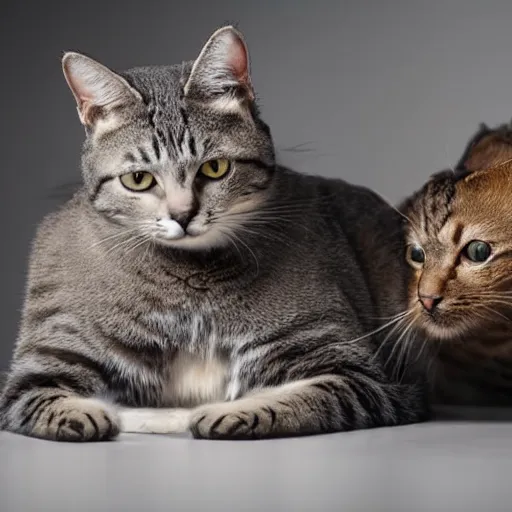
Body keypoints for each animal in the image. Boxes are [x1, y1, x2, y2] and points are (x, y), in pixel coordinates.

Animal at [0, 26, 426, 440]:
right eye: (138, 179)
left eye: (215, 168)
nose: (182, 215)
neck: (192, 281)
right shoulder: (43, 362)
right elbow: (47, 400)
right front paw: (90, 416)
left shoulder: (353, 366)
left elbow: (306, 397)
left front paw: (227, 413)